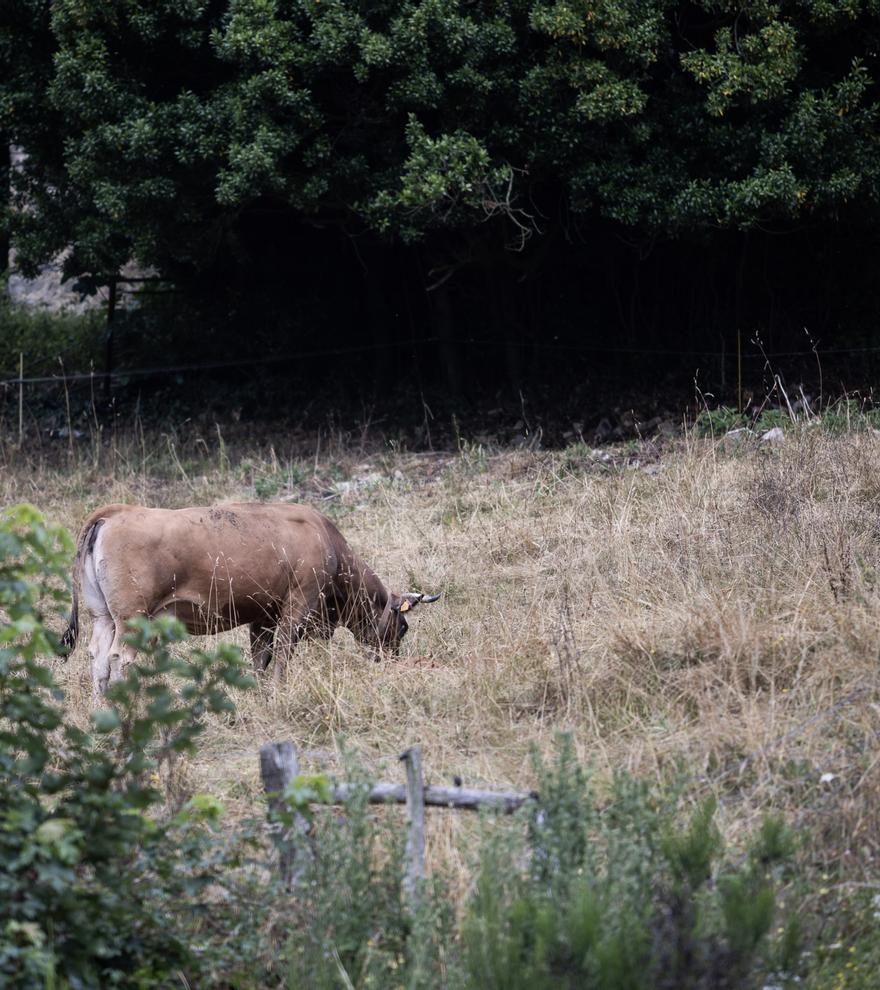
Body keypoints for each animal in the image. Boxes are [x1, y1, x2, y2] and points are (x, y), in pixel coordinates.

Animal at [60, 504, 438, 696]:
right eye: (402, 627)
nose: (390, 659)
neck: (325, 540)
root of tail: (117, 512)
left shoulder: (262, 616)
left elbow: (260, 656)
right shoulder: (297, 605)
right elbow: (283, 651)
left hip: (103, 617)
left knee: (99, 659)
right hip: (131, 620)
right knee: (119, 659)